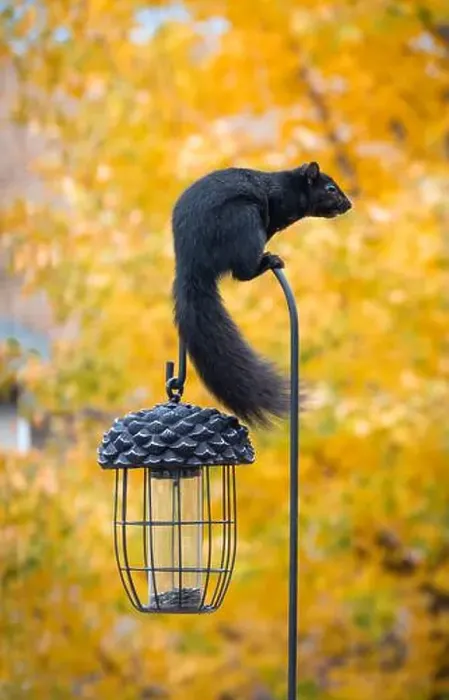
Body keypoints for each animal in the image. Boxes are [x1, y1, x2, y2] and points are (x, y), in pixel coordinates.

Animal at [172, 162, 352, 427]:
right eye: (330, 188)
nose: (348, 204)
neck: (288, 186)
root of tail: (191, 263)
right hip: (243, 220)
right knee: (242, 271)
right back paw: (267, 261)